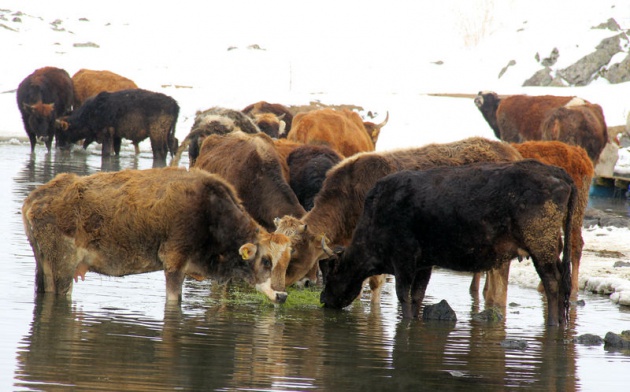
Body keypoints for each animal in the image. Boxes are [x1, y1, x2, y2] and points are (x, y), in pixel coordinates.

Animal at [21, 165, 294, 304]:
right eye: (266, 261)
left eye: (287, 262)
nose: (282, 295)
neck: (211, 212)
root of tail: (36, 197)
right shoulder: (174, 262)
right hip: (62, 266)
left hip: (43, 263)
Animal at [324, 160, 580, 328]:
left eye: (330, 274)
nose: (323, 299)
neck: (377, 213)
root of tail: (556, 171)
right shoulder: (424, 263)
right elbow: (417, 296)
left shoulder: (403, 260)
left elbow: (403, 295)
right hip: (553, 248)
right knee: (561, 281)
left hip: (541, 247)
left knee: (553, 283)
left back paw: (553, 323)